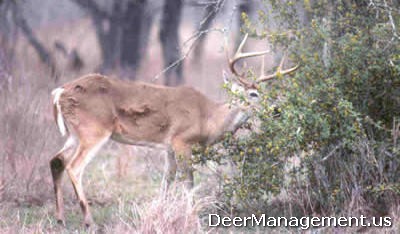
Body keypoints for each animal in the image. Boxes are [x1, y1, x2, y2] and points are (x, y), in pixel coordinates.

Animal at [49, 33, 296, 226]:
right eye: (254, 94)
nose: (277, 110)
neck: (207, 117)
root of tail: (60, 93)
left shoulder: (168, 147)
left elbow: (166, 180)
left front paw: (160, 211)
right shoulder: (181, 140)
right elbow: (188, 181)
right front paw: (193, 217)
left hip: (74, 133)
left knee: (56, 161)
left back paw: (61, 218)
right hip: (94, 130)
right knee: (74, 167)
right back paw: (89, 221)